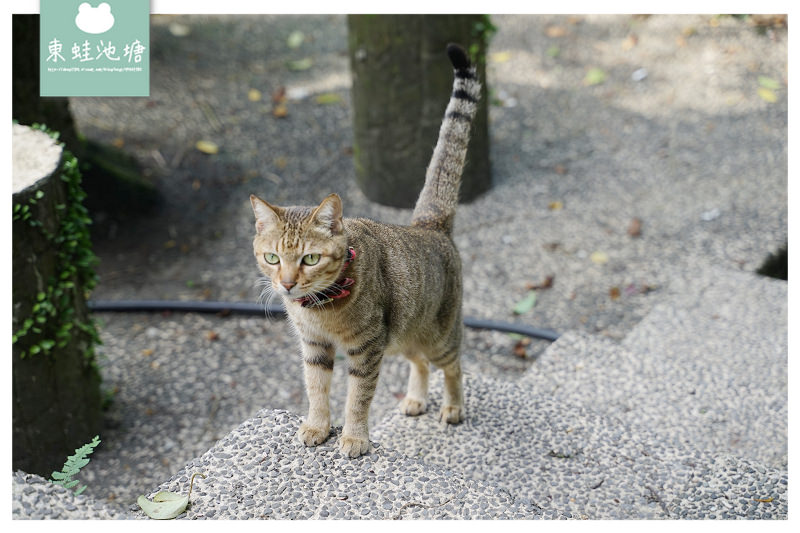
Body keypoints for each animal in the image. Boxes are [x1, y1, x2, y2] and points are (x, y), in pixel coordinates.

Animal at [248, 43, 482, 458]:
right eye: (272, 258)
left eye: (310, 258)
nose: (287, 284)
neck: (319, 308)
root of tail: (429, 224)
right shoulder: (314, 346)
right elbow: (316, 389)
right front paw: (317, 426)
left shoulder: (366, 348)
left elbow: (357, 396)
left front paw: (354, 437)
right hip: (402, 336)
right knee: (420, 364)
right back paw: (415, 399)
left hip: (436, 336)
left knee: (453, 366)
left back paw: (454, 406)